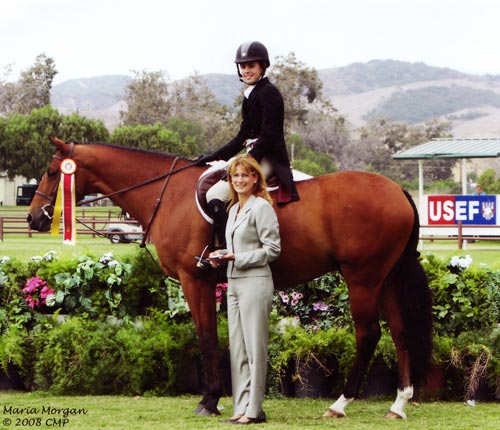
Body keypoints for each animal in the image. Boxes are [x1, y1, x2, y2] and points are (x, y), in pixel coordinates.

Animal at [27, 139, 432, 420]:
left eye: (52, 171)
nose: (34, 218)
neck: (167, 193)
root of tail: (396, 190)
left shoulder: (195, 280)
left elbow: (207, 338)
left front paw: (209, 400)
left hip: (362, 277)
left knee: (369, 334)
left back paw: (341, 403)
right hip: (386, 278)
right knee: (399, 332)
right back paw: (399, 403)